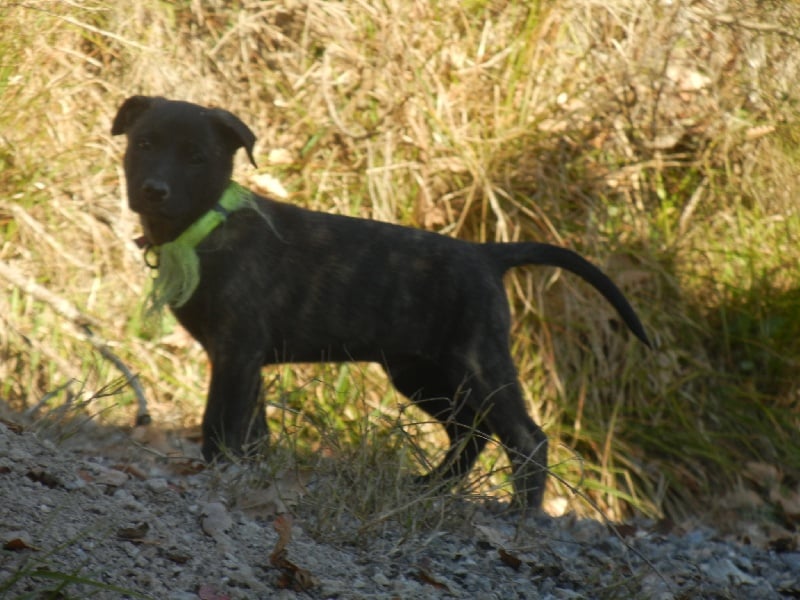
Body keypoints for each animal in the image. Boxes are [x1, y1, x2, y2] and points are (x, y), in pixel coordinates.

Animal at [112, 96, 650, 511]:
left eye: (196, 156)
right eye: (144, 144)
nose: (153, 190)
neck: (204, 229)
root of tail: (487, 254)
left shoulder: (236, 352)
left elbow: (220, 420)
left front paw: (217, 468)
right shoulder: (245, 360)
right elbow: (253, 425)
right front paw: (249, 467)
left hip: (478, 362)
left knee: (525, 437)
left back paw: (521, 512)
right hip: (421, 372)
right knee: (471, 431)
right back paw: (432, 486)